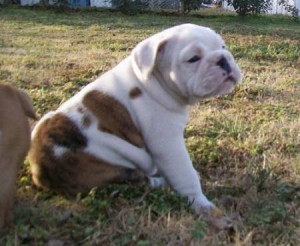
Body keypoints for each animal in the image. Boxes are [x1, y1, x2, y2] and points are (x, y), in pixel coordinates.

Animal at [29, 24, 243, 214]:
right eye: (193, 59)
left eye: (222, 47)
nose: (223, 58)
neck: (151, 81)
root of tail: (41, 171)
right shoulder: (167, 143)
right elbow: (184, 173)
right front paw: (201, 204)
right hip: (109, 170)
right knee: (138, 180)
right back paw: (160, 182)